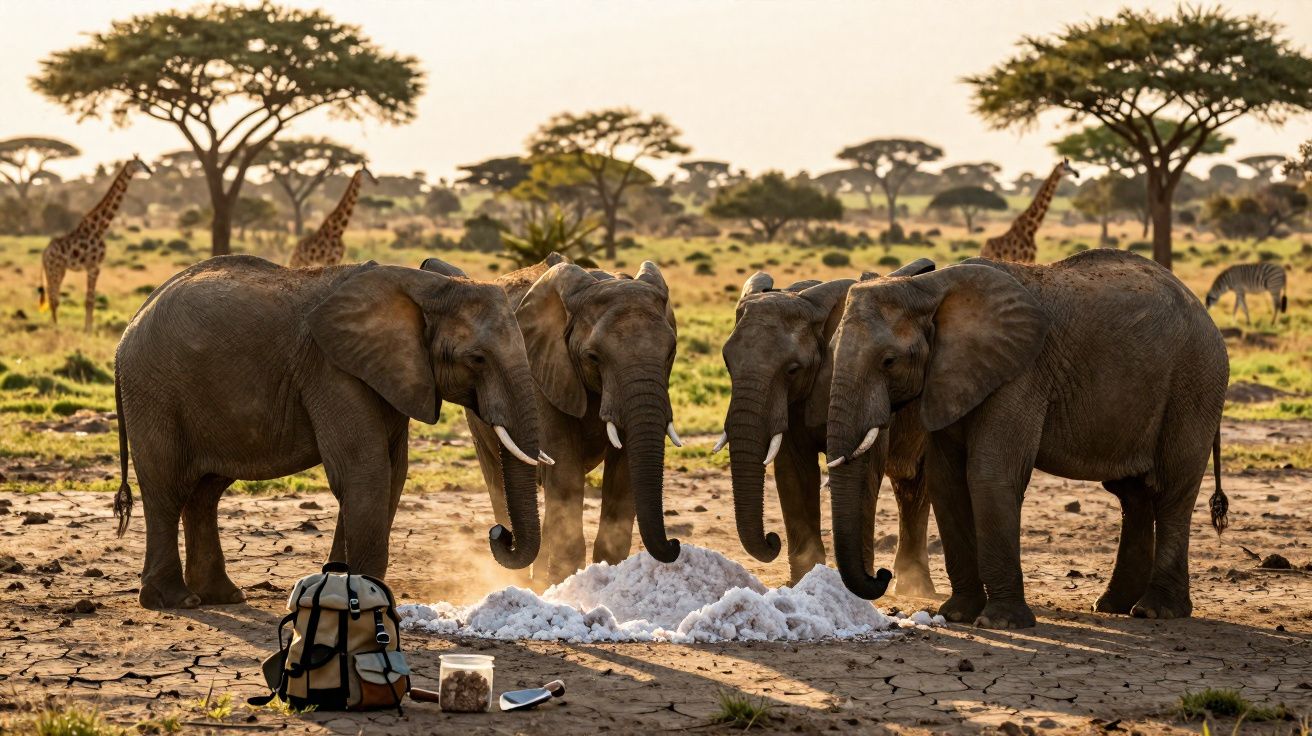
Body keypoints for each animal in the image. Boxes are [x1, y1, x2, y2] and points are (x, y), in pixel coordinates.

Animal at [114, 255, 544, 609]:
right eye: (478, 358)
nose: (499, 532)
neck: (423, 285)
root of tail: (129, 327)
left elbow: (392, 474)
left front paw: (339, 584)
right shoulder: (332, 370)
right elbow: (365, 471)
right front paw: (366, 598)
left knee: (205, 492)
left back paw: (222, 596)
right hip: (154, 391)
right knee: (167, 489)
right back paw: (174, 601)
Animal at [434, 254, 681, 585]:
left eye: (670, 352)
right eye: (593, 357)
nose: (675, 543)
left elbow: (623, 476)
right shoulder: (542, 373)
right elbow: (565, 472)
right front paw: (568, 582)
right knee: (500, 481)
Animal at [717, 259, 937, 593]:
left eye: (793, 369)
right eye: (727, 363)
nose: (772, 539)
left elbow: (865, 471)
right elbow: (793, 471)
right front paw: (804, 578)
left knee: (917, 485)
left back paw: (916, 588)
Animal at [824, 249, 1229, 628]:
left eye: (889, 361)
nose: (881, 574)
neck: (931, 288)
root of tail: (1205, 314)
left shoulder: (1021, 373)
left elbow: (989, 475)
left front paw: (999, 622)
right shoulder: (950, 378)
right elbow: (946, 481)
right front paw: (957, 615)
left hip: (1195, 385)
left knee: (1172, 491)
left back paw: (1155, 610)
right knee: (1133, 495)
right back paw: (1112, 606)